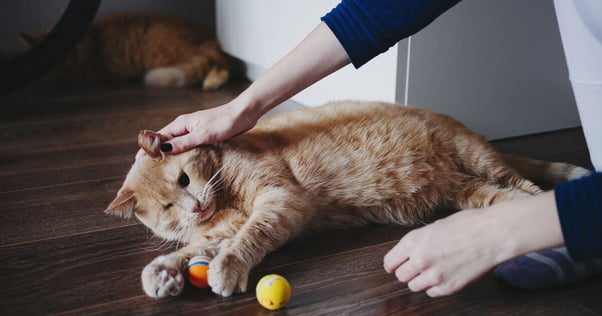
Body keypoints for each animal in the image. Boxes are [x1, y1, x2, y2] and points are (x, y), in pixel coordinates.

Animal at [103, 101, 584, 298]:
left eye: (184, 179)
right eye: (167, 210)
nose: (195, 207)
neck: (221, 202)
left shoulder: (279, 201)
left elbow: (246, 240)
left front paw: (227, 268)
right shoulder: (219, 230)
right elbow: (193, 249)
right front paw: (164, 272)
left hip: (478, 158)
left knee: (529, 189)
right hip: (472, 193)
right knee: (508, 200)